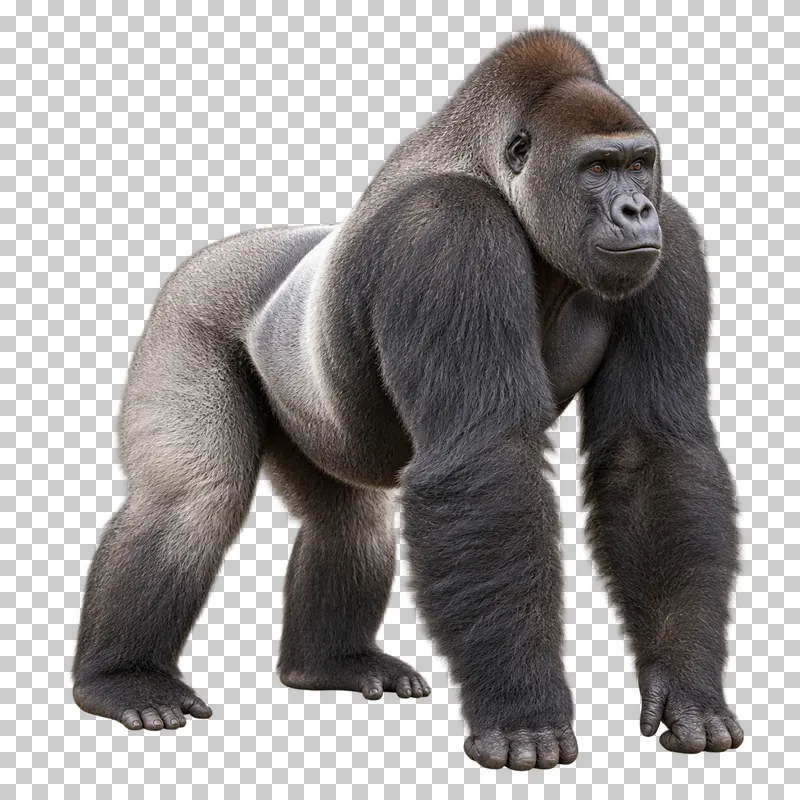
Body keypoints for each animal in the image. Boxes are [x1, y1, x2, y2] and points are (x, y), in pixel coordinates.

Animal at [72, 29, 744, 769]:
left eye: (639, 164)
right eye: (596, 168)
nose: (636, 209)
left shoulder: (671, 242)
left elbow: (650, 456)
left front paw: (685, 686)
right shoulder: (447, 232)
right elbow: (484, 459)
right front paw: (522, 709)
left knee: (350, 522)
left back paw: (329, 663)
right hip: (188, 305)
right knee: (193, 497)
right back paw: (122, 676)